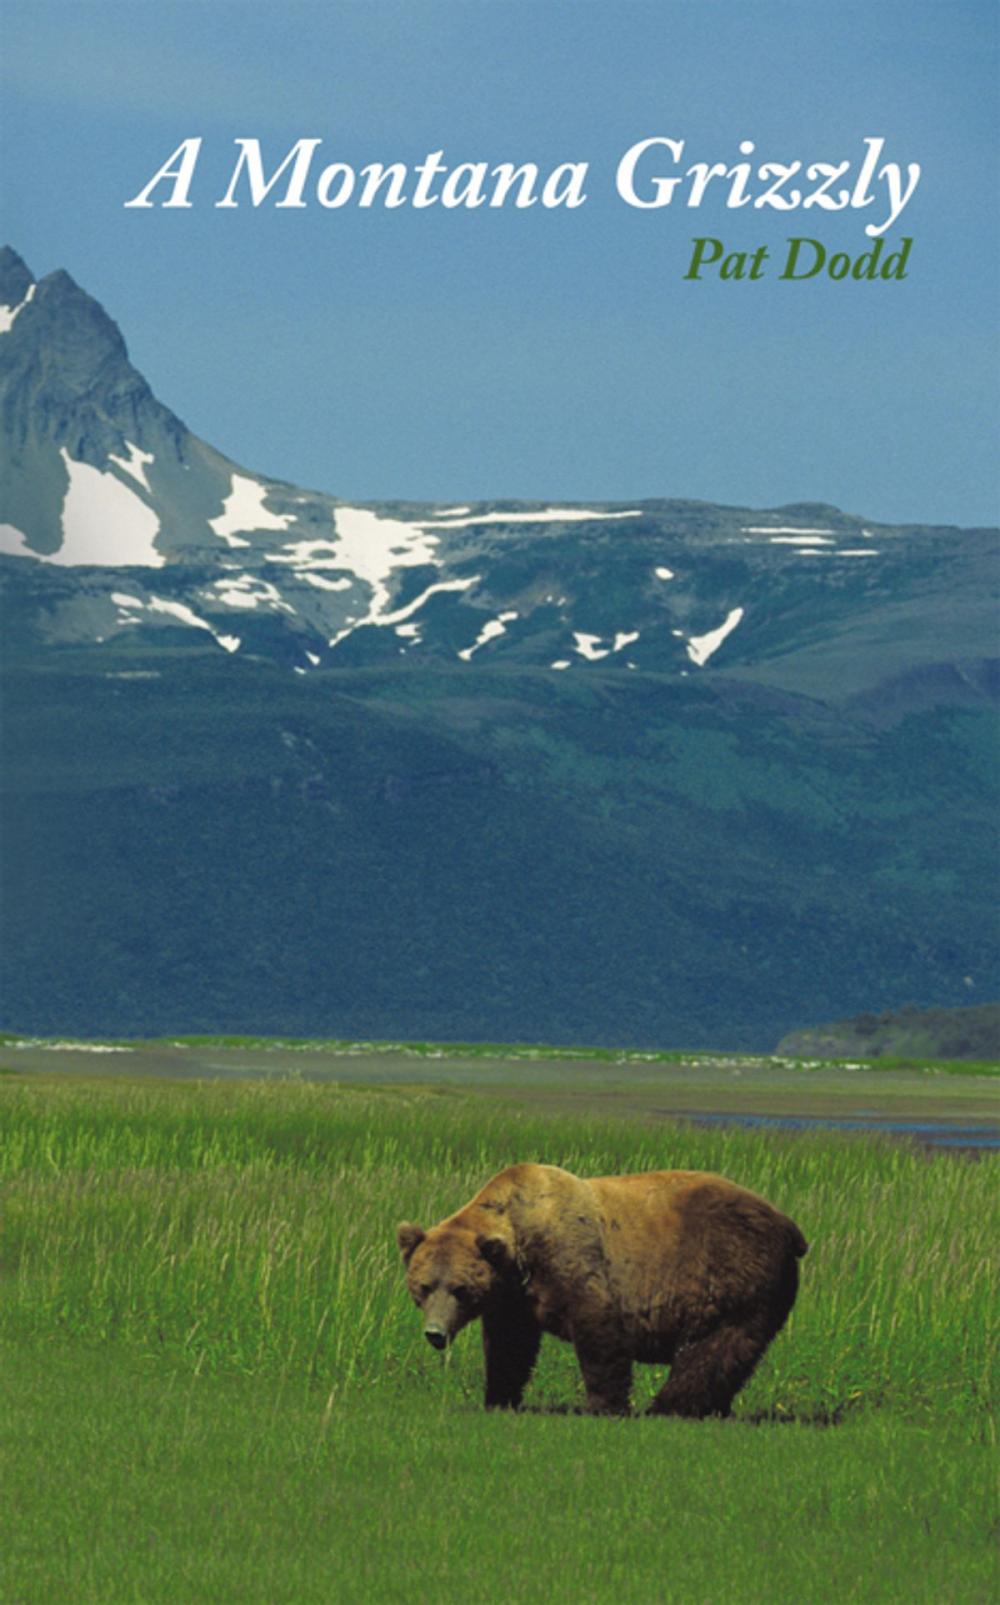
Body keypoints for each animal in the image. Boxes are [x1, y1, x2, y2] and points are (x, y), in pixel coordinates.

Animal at [394, 1168, 808, 1418]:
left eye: (460, 1289)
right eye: (424, 1286)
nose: (435, 1333)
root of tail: (789, 1225)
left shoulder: (575, 1260)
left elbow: (599, 1333)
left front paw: (605, 1406)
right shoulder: (515, 1298)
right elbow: (509, 1348)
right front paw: (499, 1397)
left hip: (735, 1277)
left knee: (714, 1349)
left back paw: (668, 1407)